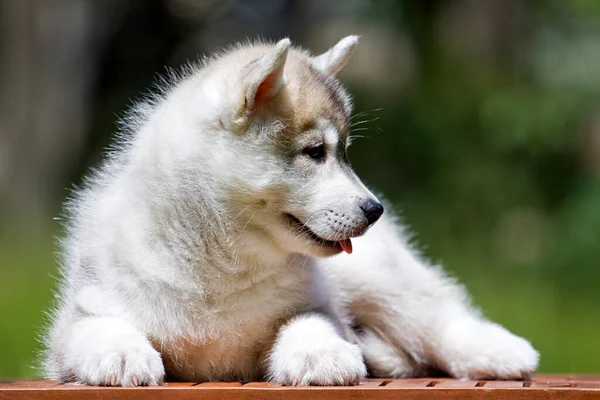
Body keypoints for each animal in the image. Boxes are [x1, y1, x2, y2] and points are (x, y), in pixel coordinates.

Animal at [43, 36, 540, 386]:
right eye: (316, 152)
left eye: (345, 153)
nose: (374, 208)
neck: (224, 265)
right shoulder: (77, 320)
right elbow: (98, 328)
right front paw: (122, 353)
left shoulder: (318, 303)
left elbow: (310, 322)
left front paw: (321, 354)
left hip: (379, 278)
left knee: (435, 313)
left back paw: (500, 352)